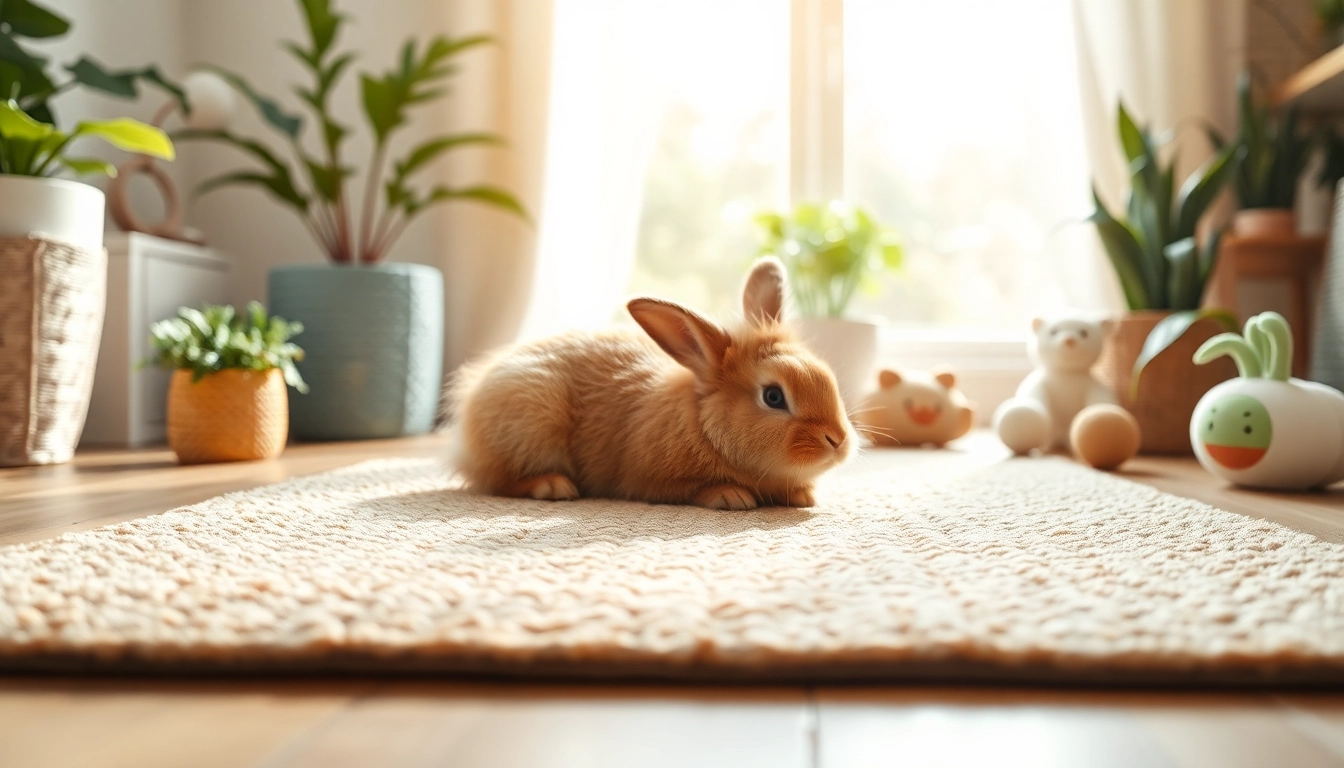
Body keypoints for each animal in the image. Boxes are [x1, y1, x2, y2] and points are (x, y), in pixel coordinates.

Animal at [448, 257, 855, 509]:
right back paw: (551, 486)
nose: (837, 441)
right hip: (531, 426)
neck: (703, 425)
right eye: (773, 396)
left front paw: (804, 496)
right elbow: (686, 489)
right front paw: (730, 495)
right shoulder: (648, 480)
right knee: (496, 480)